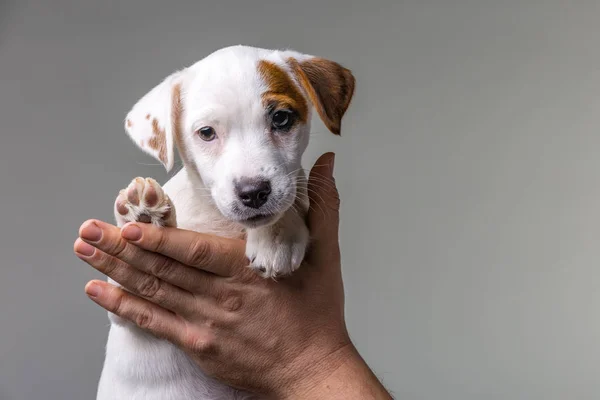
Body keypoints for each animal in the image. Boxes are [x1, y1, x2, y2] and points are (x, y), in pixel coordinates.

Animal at [97, 45, 356, 400]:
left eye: (281, 118)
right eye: (206, 133)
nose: (254, 192)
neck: (221, 222)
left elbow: (288, 201)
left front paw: (277, 236)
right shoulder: (125, 308)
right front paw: (144, 217)